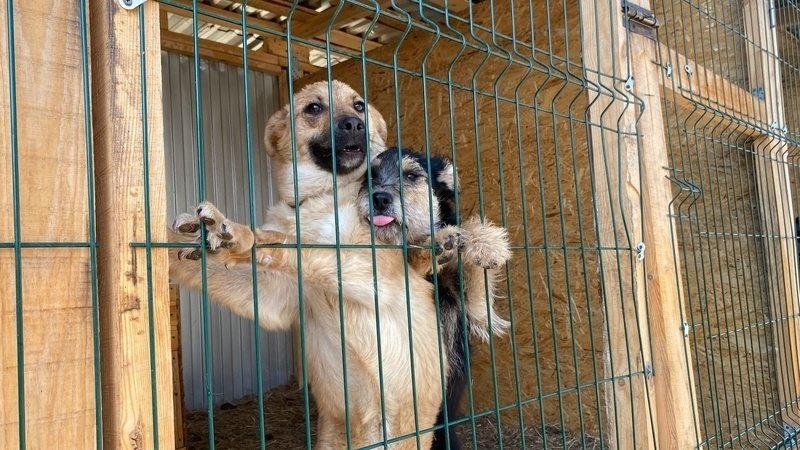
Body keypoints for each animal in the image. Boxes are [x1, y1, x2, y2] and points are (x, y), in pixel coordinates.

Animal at [169, 80, 445, 449]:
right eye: (314, 108)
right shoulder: (275, 296)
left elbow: (295, 245)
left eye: (359, 105)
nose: (355, 124)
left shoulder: (375, 273)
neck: (319, 199)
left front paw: (240, 235)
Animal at [362, 147, 511, 450]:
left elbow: (466, 233)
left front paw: (486, 242)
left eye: (411, 176)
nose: (379, 198)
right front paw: (430, 246)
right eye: (369, 177)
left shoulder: (476, 309)